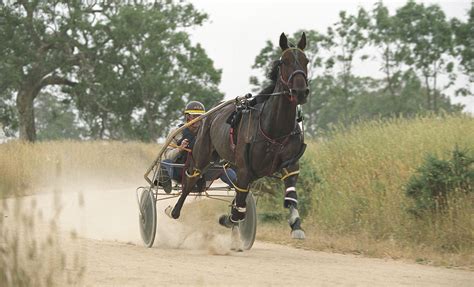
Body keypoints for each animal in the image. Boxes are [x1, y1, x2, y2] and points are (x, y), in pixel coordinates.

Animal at [168, 32, 310, 244]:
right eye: (284, 62)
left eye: (306, 60)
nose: (300, 91)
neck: (274, 128)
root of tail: (211, 113)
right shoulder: (244, 168)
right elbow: (240, 208)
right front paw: (229, 219)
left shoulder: (289, 164)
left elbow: (290, 196)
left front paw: (296, 225)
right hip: (202, 154)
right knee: (190, 180)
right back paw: (175, 210)